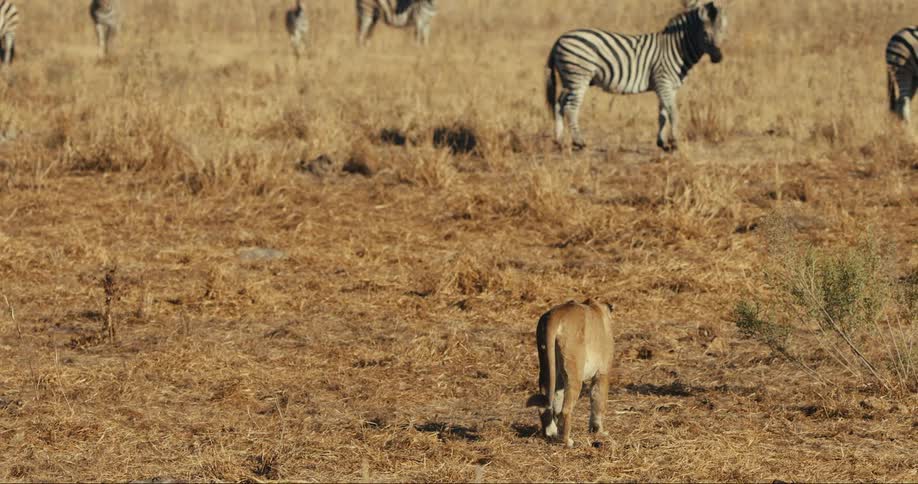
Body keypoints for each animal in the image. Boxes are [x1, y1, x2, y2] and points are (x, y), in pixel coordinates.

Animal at [526, 299, 615, 447]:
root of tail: (556, 314)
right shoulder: (602, 373)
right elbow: (598, 401)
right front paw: (599, 432)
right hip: (574, 371)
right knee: (565, 410)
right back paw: (567, 441)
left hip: (546, 365)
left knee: (547, 404)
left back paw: (552, 433)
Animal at [545, 2, 727, 151]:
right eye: (705, 33)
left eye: (723, 32)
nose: (718, 57)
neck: (676, 48)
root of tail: (559, 39)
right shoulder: (663, 81)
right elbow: (673, 112)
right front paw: (675, 143)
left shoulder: (667, 86)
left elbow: (663, 114)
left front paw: (662, 143)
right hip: (579, 76)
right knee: (571, 107)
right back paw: (579, 142)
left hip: (569, 79)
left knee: (558, 104)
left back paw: (559, 140)